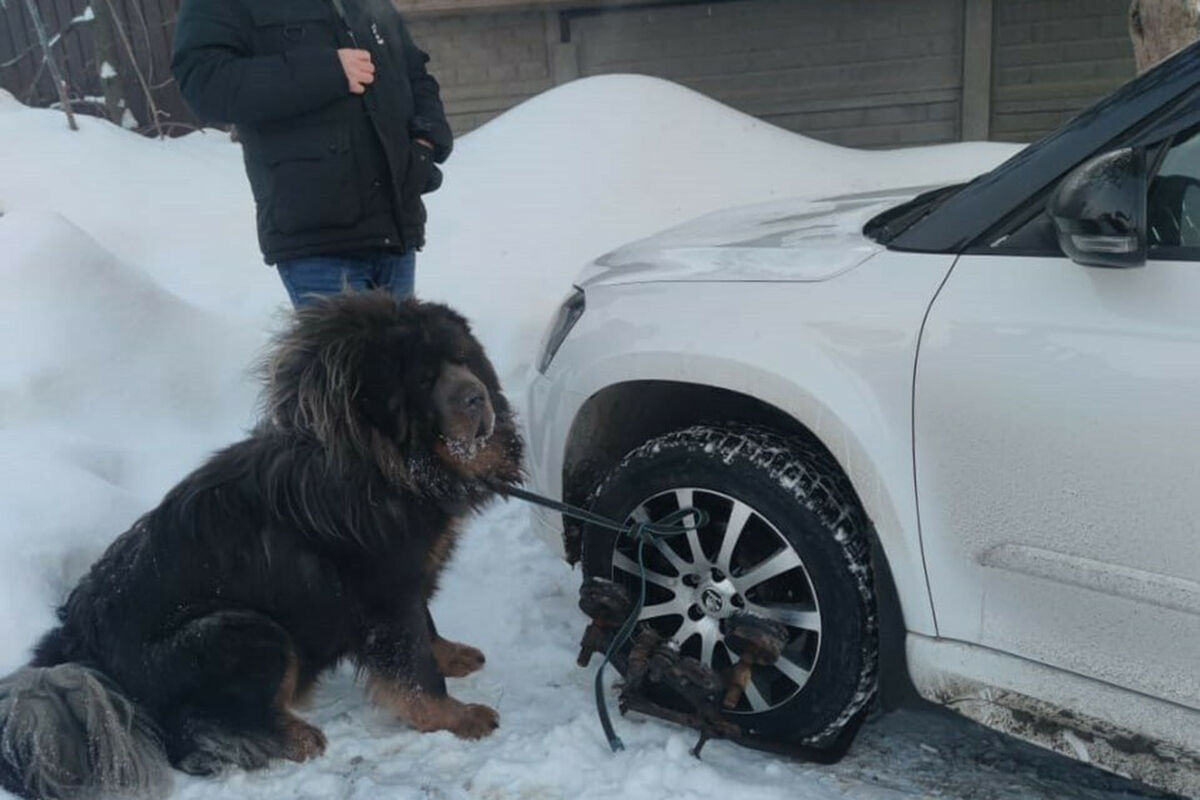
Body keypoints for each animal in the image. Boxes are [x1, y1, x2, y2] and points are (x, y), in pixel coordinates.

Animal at [1, 293, 525, 800]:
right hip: (242, 629)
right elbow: (414, 668)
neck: (383, 463)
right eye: (423, 379)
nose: (476, 397)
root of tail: (77, 649)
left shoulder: (406, 580)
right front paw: (456, 717)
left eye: (464, 360)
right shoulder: (386, 595)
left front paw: (451, 654)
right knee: (191, 733)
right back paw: (292, 736)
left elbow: (426, 630)